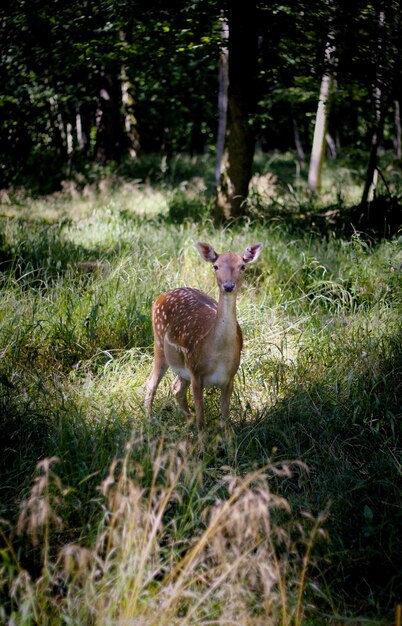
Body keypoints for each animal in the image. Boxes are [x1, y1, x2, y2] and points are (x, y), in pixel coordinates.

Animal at [146, 240, 262, 428]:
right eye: (216, 266)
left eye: (242, 266)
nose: (228, 286)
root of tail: (160, 296)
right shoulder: (196, 373)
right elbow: (202, 421)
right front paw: (200, 434)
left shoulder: (230, 377)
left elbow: (225, 420)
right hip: (159, 344)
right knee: (151, 382)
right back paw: (149, 421)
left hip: (182, 367)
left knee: (176, 387)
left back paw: (187, 422)